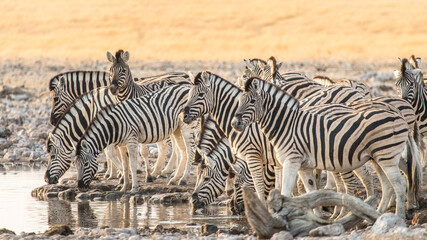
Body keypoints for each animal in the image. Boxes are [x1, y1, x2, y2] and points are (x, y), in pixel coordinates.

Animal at [232, 77, 420, 219]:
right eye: (239, 101)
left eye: (252, 101)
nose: (235, 123)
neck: (286, 124)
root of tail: (399, 115)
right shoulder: (304, 166)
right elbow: (310, 190)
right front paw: (314, 215)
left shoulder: (291, 161)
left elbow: (285, 190)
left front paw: (281, 215)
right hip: (377, 158)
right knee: (389, 184)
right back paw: (377, 215)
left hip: (387, 156)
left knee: (399, 183)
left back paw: (399, 216)